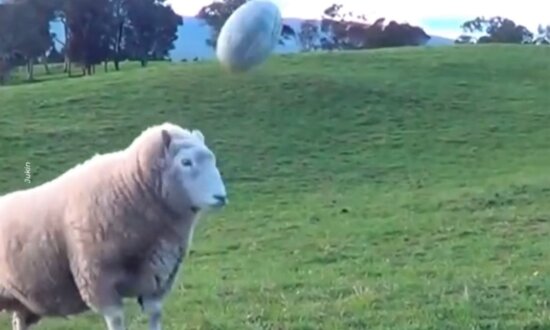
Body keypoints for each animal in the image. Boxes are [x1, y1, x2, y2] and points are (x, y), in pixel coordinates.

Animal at [0, 122, 229, 328]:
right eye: (186, 162)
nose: (221, 197)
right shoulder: (98, 279)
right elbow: (116, 320)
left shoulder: (158, 280)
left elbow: (154, 315)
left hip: (24, 302)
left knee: (19, 320)